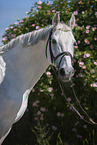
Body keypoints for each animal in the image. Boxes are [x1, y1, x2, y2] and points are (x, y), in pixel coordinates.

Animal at [0, 12, 75, 144]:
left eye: (74, 43)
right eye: (54, 41)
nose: (67, 72)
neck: (10, 76)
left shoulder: (7, 126)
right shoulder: (3, 124)